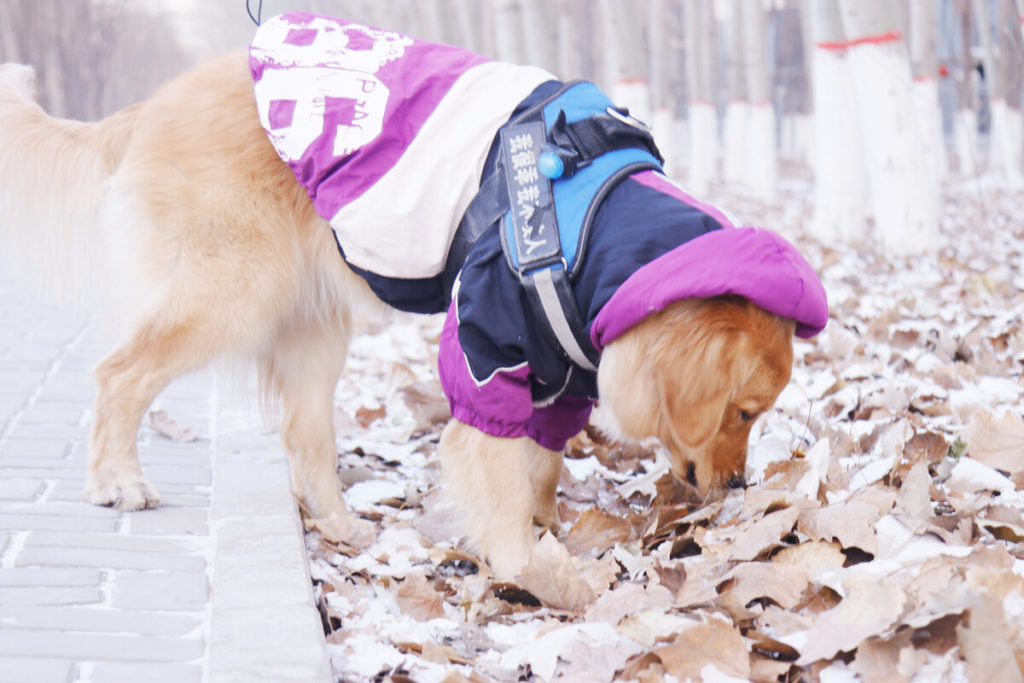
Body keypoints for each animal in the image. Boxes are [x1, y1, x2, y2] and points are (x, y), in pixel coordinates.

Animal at [0, 13, 823, 581]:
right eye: (743, 412)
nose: (738, 484)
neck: (587, 222)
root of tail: (147, 108)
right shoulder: (488, 347)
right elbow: (495, 463)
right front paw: (523, 563)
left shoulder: (559, 371)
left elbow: (543, 461)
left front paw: (545, 527)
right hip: (230, 295)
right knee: (119, 375)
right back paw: (118, 482)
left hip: (311, 329)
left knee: (304, 435)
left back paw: (340, 527)